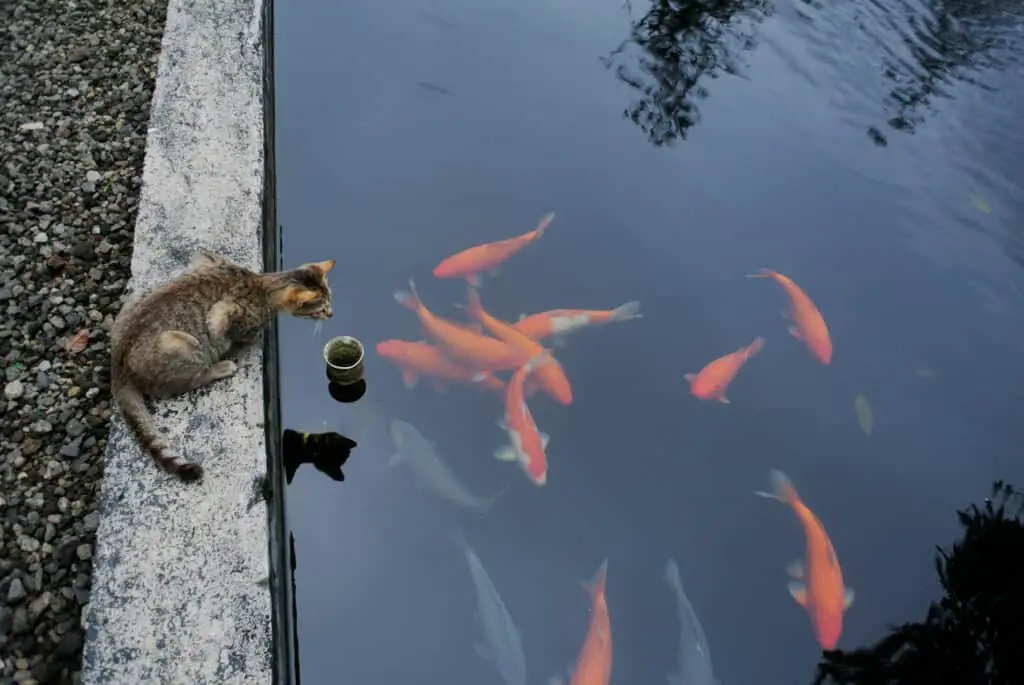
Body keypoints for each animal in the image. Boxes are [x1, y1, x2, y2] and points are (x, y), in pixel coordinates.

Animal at [111, 249, 335, 481]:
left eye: (331, 299)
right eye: (322, 309)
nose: (331, 314)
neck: (263, 284)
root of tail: (117, 366)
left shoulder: (207, 261)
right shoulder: (223, 314)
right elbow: (230, 329)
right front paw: (252, 337)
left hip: (136, 297)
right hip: (183, 345)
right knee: (184, 383)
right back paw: (221, 367)